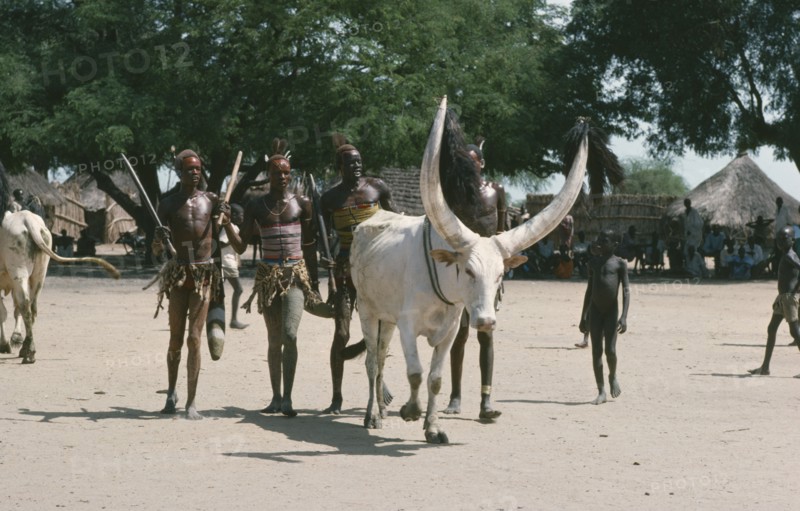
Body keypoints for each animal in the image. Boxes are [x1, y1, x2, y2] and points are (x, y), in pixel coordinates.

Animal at [0, 210, 120, 363]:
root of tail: (27, 218)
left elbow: (3, 312)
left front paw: (5, 344)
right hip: (39, 273)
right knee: (31, 307)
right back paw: (26, 349)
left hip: (19, 272)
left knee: (24, 305)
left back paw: (28, 353)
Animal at [350, 97, 621, 443]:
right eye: (467, 271)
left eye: (500, 275)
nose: (487, 320)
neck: (441, 281)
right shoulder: (408, 324)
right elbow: (415, 372)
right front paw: (411, 411)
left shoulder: (449, 329)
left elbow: (435, 378)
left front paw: (433, 427)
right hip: (367, 310)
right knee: (373, 361)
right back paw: (372, 415)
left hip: (386, 317)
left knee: (382, 357)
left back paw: (384, 412)